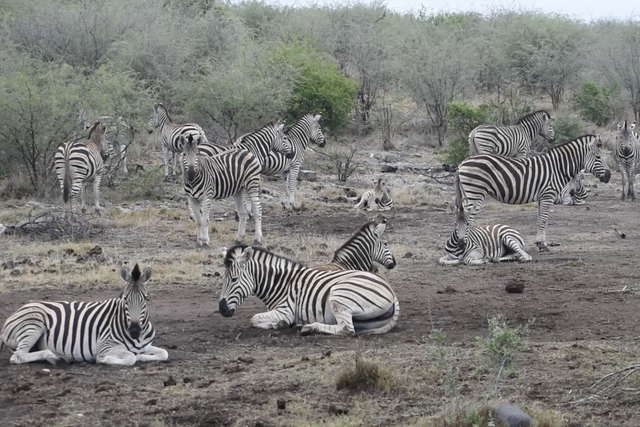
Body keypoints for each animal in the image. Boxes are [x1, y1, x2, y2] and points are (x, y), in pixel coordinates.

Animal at [0, 264, 168, 366]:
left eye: (146, 299)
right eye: (125, 299)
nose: (134, 331)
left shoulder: (146, 346)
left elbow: (164, 353)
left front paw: (142, 356)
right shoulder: (105, 346)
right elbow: (130, 357)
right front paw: (105, 360)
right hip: (33, 324)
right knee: (17, 356)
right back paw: (55, 357)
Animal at [218, 245, 400, 336]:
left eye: (234, 280)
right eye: (223, 280)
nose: (222, 310)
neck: (279, 283)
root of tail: (391, 290)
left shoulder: (285, 310)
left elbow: (254, 319)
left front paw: (280, 324)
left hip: (339, 294)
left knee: (347, 330)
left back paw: (308, 328)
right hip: (367, 320)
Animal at [444, 134, 610, 255]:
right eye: (598, 157)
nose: (609, 176)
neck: (558, 168)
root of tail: (462, 163)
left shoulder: (542, 197)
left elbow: (540, 220)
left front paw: (540, 243)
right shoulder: (548, 195)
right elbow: (544, 220)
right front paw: (543, 245)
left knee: (459, 216)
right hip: (475, 192)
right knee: (467, 218)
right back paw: (465, 246)